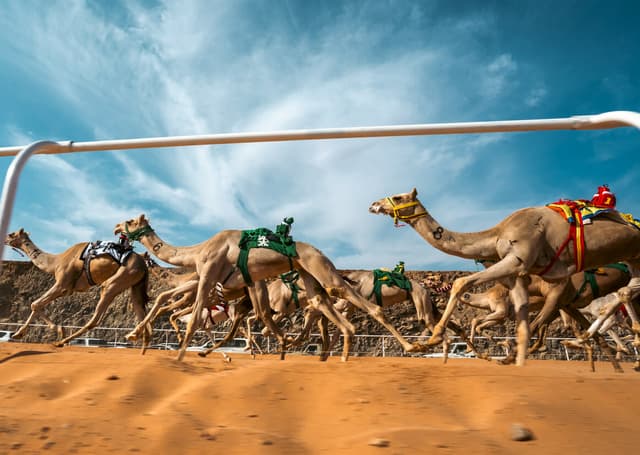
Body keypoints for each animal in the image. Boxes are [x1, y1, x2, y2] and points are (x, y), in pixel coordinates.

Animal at [4, 228, 150, 346]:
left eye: (11, 234)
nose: (5, 239)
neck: (55, 262)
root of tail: (144, 265)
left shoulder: (62, 284)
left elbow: (35, 304)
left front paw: (60, 330)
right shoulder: (67, 290)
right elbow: (38, 305)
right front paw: (19, 334)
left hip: (117, 280)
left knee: (96, 318)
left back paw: (62, 342)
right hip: (135, 285)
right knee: (141, 313)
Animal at [114, 214, 422, 362]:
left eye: (129, 221)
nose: (117, 226)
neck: (197, 252)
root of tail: (319, 252)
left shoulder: (207, 275)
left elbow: (190, 317)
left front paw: (178, 355)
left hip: (321, 269)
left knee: (353, 301)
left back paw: (410, 345)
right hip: (308, 276)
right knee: (323, 307)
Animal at [369, 188, 640, 367]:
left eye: (398, 197)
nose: (373, 204)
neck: (497, 233)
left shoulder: (517, 260)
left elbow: (461, 282)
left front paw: (433, 338)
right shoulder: (516, 277)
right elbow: (520, 326)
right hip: (630, 261)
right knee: (622, 296)